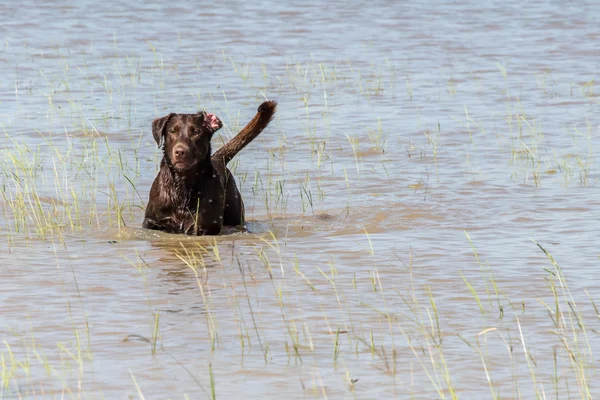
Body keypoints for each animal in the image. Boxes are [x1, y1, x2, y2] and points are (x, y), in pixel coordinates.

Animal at [144, 100, 278, 236]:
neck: (183, 184)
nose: (180, 151)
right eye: (172, 131)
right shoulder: (151, 221)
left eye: (196, 132)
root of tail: (217, 158)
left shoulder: (206, 226)